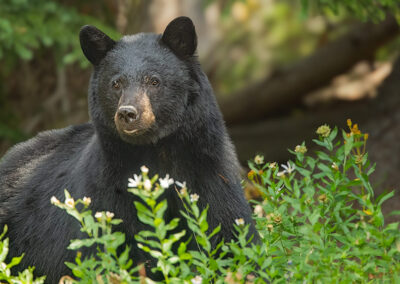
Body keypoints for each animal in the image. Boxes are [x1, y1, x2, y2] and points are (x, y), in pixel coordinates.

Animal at [0, 17, 256, 282]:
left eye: (154, 81)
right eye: (116, 83)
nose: (127, 113)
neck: (156, 150)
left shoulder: (209, 171)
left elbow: (230, 232)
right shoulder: (107, 189)